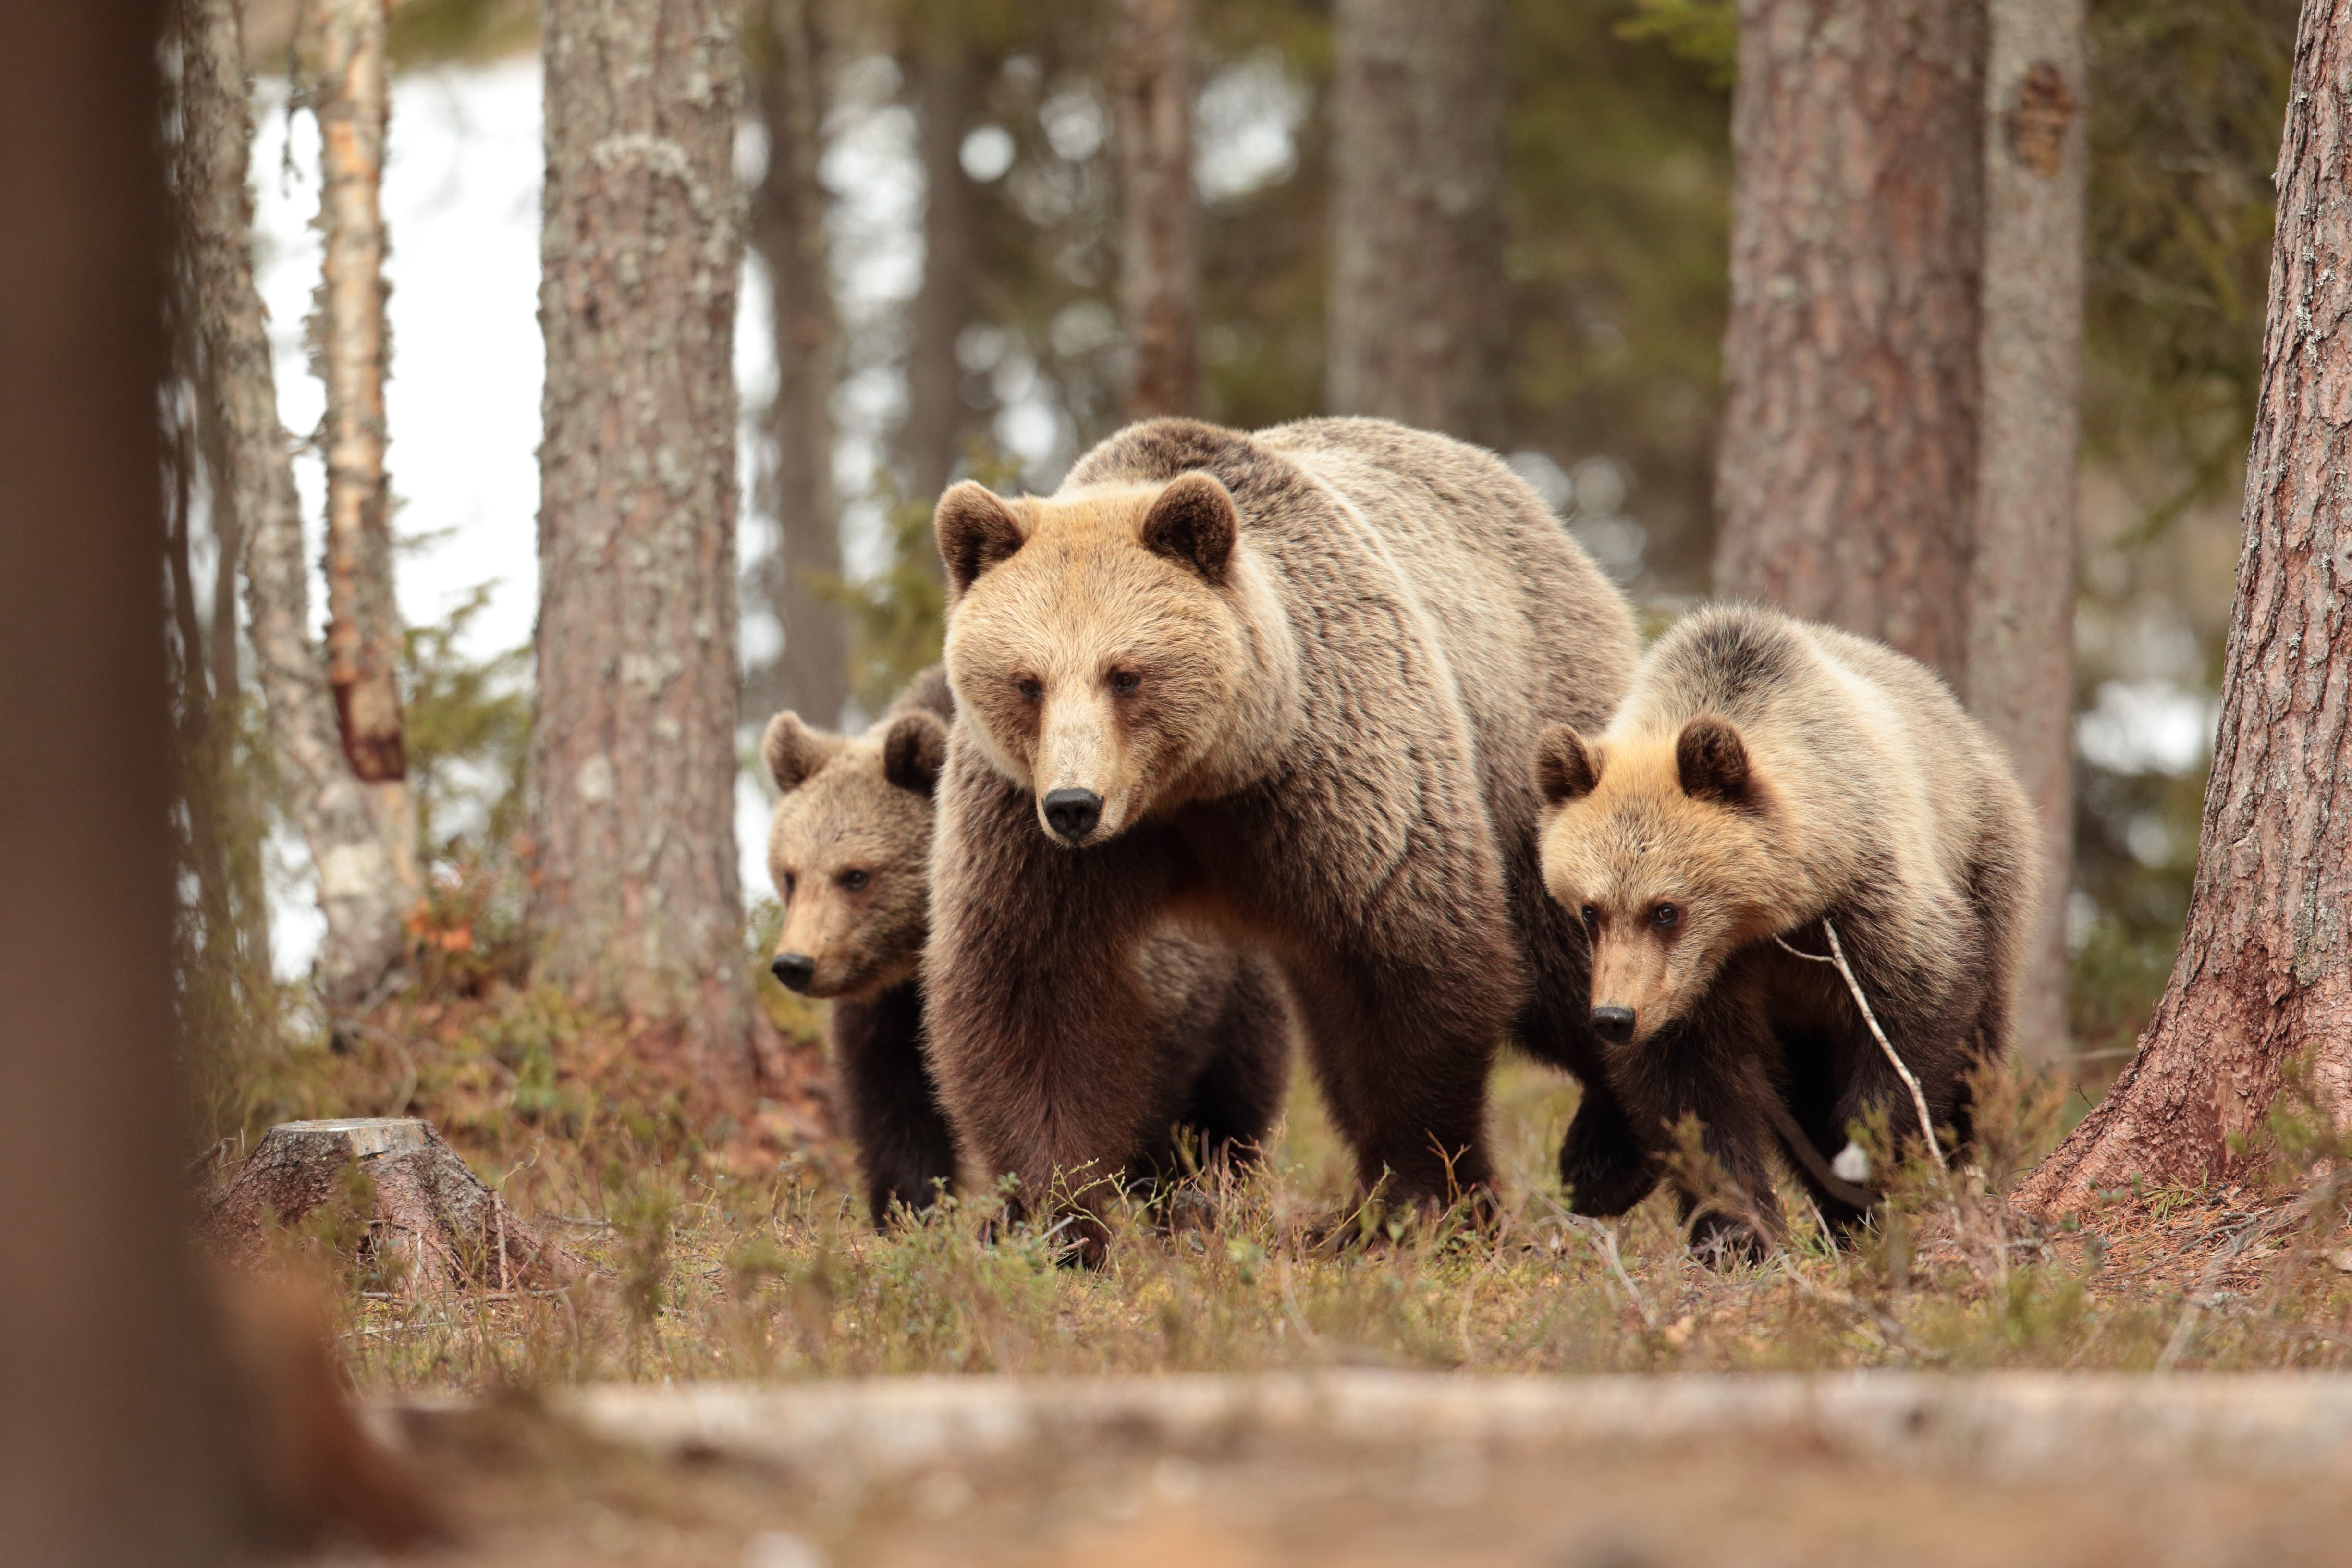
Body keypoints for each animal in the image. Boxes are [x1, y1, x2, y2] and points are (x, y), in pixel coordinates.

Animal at [759, 668, 1294, 1230]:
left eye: (856, 876)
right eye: (790, 874)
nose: (795, 964)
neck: (920, 950)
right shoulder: (890, 1007)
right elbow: (893, 1108)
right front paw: (911, 1215)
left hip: (1239, 992)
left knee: (1228, 1110)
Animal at [922, 415, 1641, 1261]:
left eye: (1126, 674)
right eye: (1027, 681)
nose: (1074, 804)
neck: (1189, 787)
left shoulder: (1334, 784)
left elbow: (1410, 975)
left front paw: (1427, 1201)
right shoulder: (1025, 831)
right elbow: (1031, 997)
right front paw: (1057, 1223)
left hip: (1534, 743)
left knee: (1577, 950)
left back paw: (1614, 1153)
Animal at [1532, 603, 2040, 1258]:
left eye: (1665, 909)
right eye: (1591, 909)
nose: (1615, 1018)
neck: (1763, 922)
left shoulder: (1868, 907)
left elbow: (1914, 1022)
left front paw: (1870, 1174)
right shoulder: (1700, 986)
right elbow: (1695, 1098)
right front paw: (1737, 1234)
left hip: (1987, 860)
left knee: (1980, 1044)